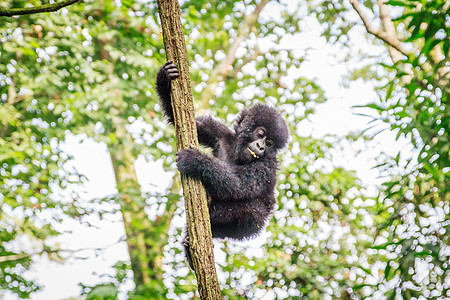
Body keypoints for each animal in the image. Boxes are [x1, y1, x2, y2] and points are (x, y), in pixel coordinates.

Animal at [156, 61, 288, 264]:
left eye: (271, 143)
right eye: (261, 134)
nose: (261, 146)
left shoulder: (267, 166)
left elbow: (240, 185)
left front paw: (195, 161)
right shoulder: (220, 133)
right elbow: (185, 120)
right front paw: (164, 76)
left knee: (252, 211)